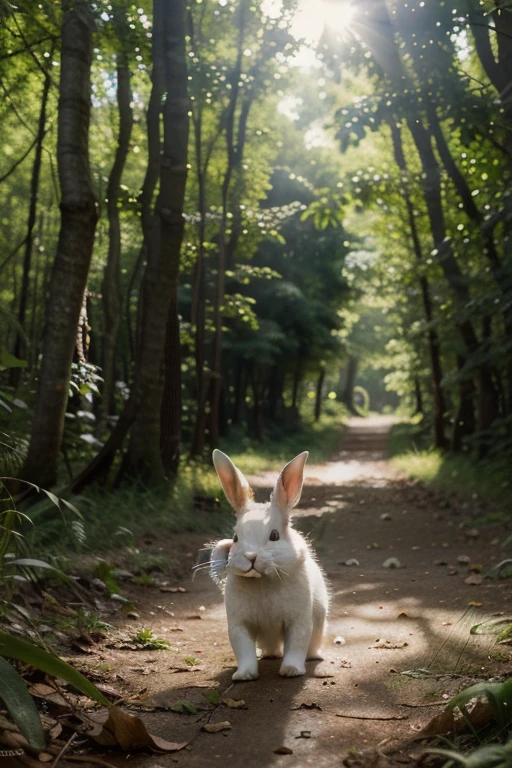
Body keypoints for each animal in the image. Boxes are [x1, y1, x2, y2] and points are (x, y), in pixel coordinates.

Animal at [210, 449, 328, 681]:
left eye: (274, 535)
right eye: (236, 538)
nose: (250, 557)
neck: (262, 581)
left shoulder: (299, 622)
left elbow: (296, 646)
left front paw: (291, 670)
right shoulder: (238, 626)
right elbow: (244, 650)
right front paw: (244, 675)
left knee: (309, 647)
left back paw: (314, 657)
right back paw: (270, 655)